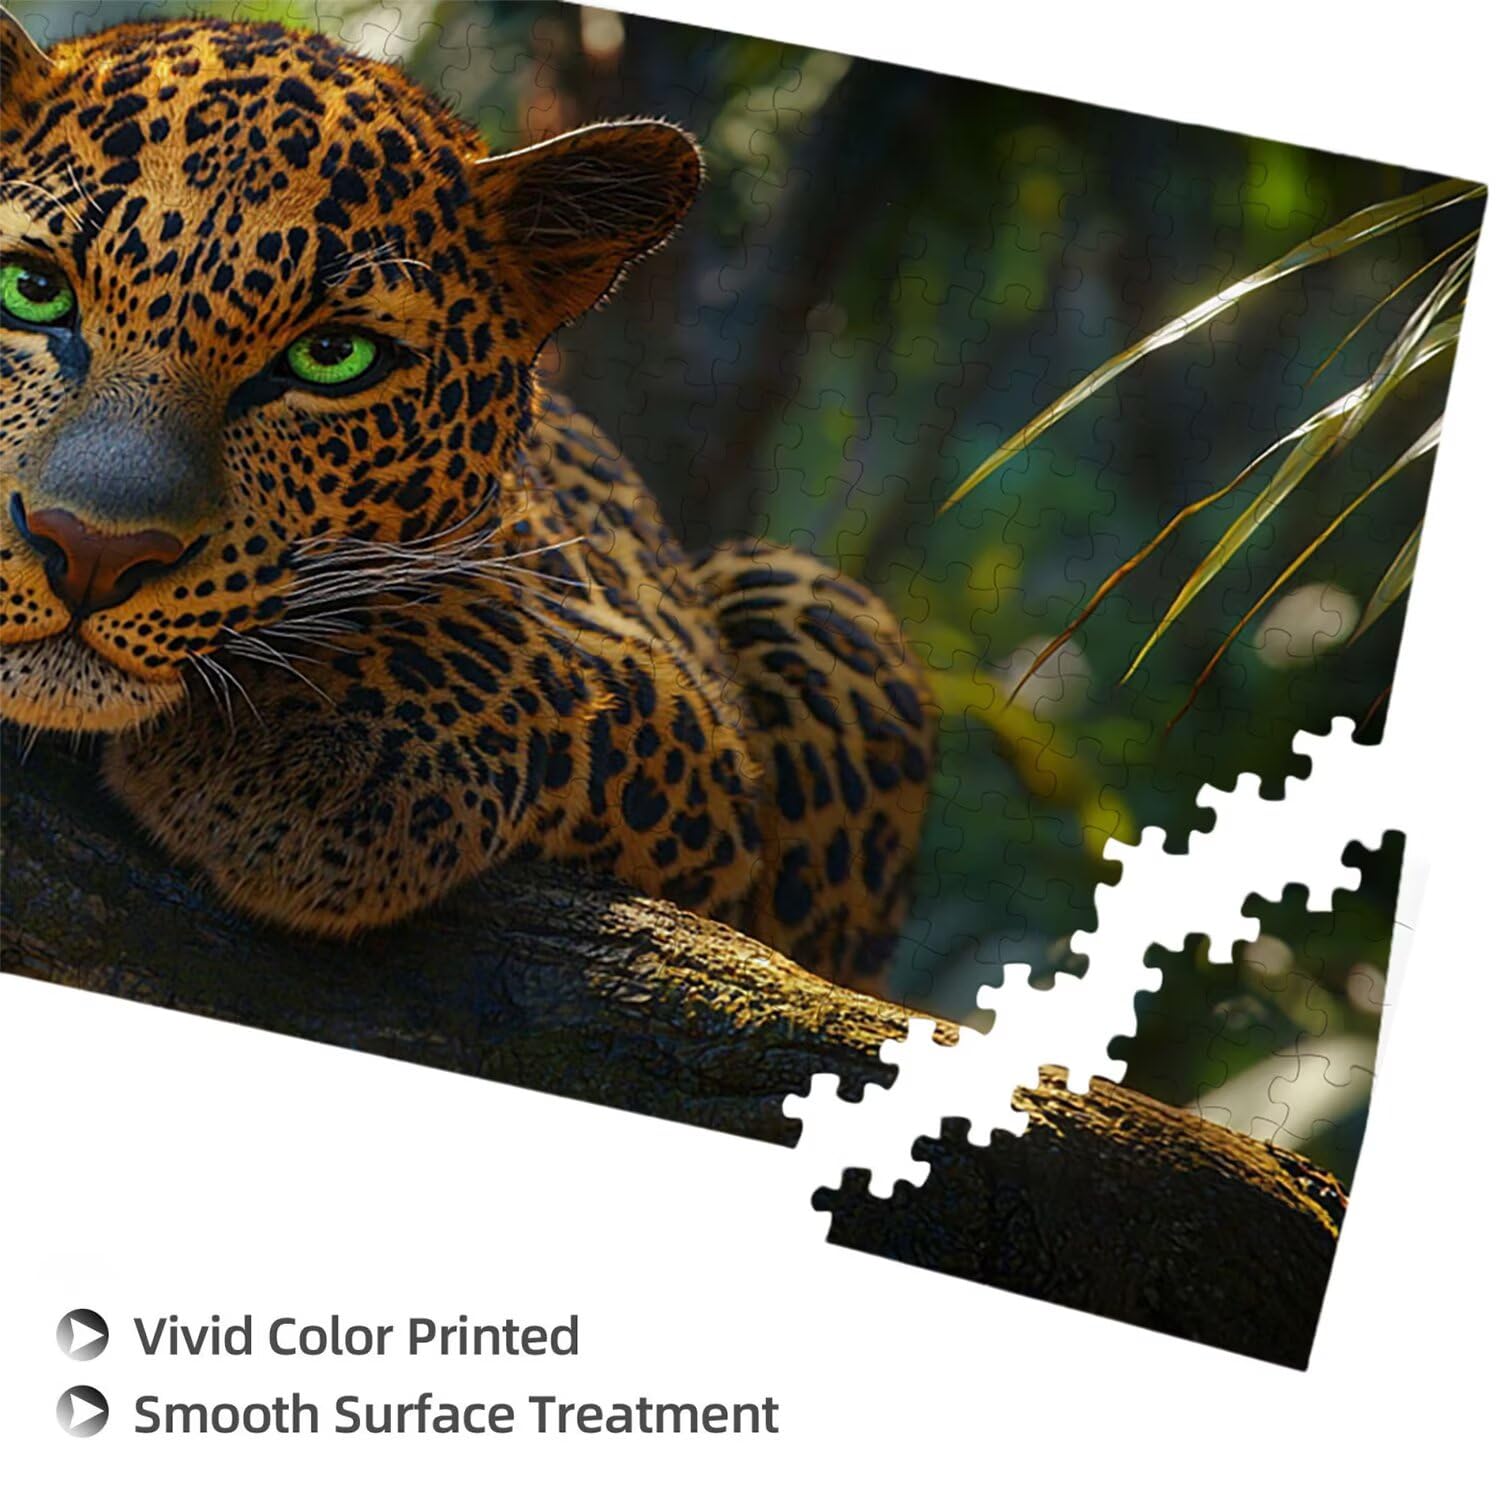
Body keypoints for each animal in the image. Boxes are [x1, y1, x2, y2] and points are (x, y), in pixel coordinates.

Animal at [0, 8, 935, 989]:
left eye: (332, 356)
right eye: (31, 291)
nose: (90, 553)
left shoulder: (678, 699)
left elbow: (513, 639)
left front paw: (326, 749)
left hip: (800, 592)